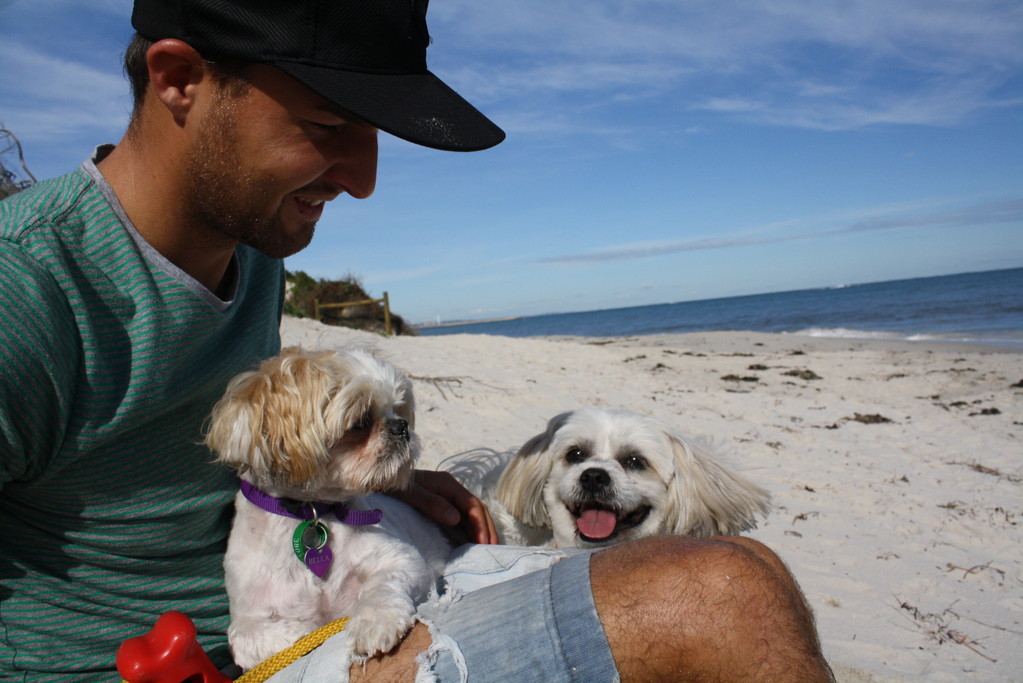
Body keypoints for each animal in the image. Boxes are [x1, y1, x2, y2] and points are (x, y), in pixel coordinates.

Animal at [203, 349, 448, 670]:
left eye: (398, 411)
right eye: (360, 422)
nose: (402, 427)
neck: (310, 512)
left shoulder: (403, 560)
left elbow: (383, 585)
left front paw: (372, 622)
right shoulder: (248, 612)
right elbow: (244, 636)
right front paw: (306, 633)